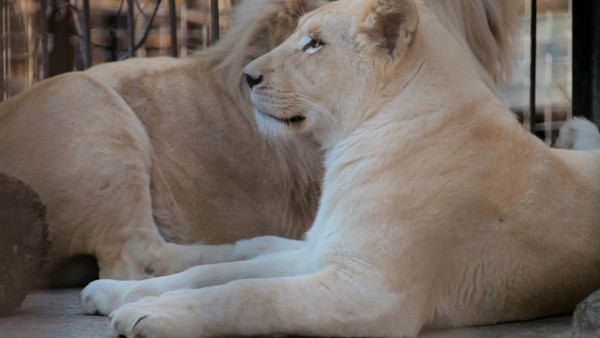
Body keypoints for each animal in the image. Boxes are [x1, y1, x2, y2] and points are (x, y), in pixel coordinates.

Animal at [79, 0, 600, 338]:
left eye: (314, 44)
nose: (247, 76)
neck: (347, 147)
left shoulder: (371, 293)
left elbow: (246, 295)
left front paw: (148, 316)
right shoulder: (325, 258)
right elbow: (217, 276)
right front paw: (112, 292)